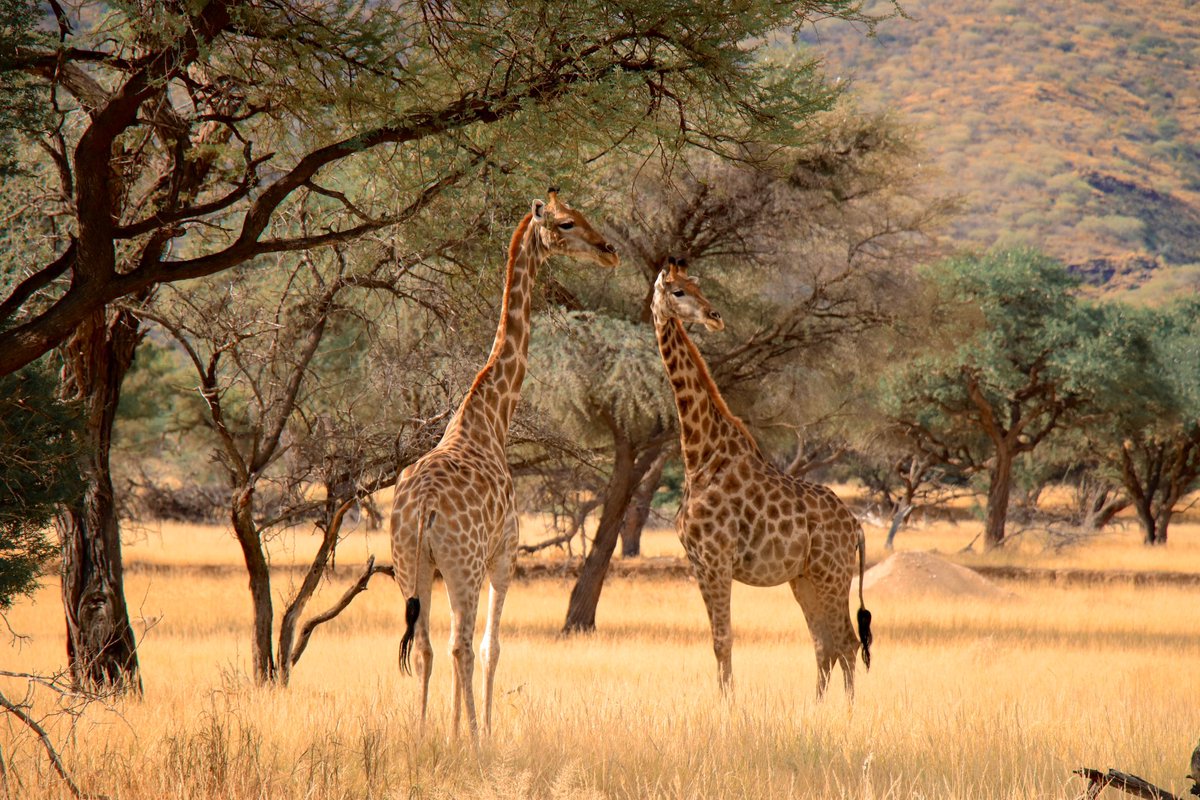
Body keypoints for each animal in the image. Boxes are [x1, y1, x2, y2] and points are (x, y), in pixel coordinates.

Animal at [389, 190, 619, 742]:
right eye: (566, 222)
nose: (609, 250)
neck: (491, 416)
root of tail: (421, 508)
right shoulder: (505, 554)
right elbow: (492, 647)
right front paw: (481, 734)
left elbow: (453, 648)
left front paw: (450, 733)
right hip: (464, 564)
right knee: (461, 646)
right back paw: (474, 742)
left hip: (411, 565)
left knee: (425, 647)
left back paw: (423, 735)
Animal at [650, 258, 872, 698]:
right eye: (679, 291)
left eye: (698, 287)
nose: (715, 317)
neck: (700, 456)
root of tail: (856, 526)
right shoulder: (698, 562)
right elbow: (716, 640)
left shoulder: (716, 559)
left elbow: (723, 639)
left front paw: (728, 706)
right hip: (805, 578)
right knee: (824, 643)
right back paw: (816, 708)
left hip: (833, 574)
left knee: (847, 642)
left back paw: (849, 710)